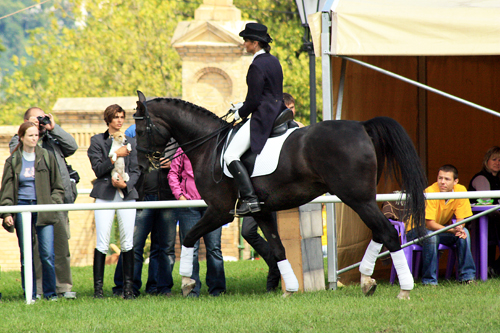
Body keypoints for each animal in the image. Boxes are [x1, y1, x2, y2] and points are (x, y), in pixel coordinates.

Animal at [134, 91, 426, 298]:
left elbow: (190, 237)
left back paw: (403, 289)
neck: (209, 146)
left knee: (387, 232)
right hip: (362, 198)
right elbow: (277, 247)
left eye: (139, 130)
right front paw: (291, 288)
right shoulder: (261, 211)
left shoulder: (219, 211)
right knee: (380, 231)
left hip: (357, 198)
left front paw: (186, 281)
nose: (141, 166)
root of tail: (361, 126)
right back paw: (366, 280)